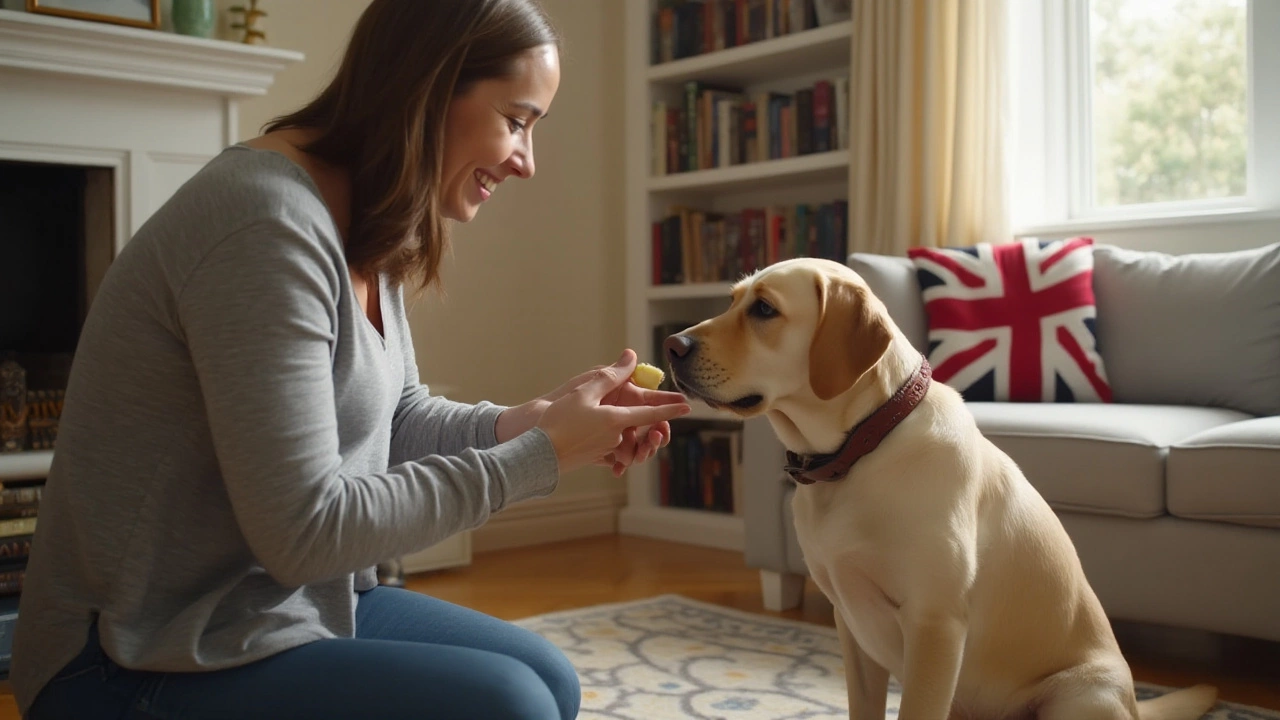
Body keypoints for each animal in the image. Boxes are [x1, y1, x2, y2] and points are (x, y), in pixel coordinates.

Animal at [665, 257, 1213, 717]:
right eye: (731, 300)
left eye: (764, 309)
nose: (672, 345)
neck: (861, 449)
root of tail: (1137, 705)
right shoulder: (852, 625)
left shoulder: (934, 624)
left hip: (1079, 696)